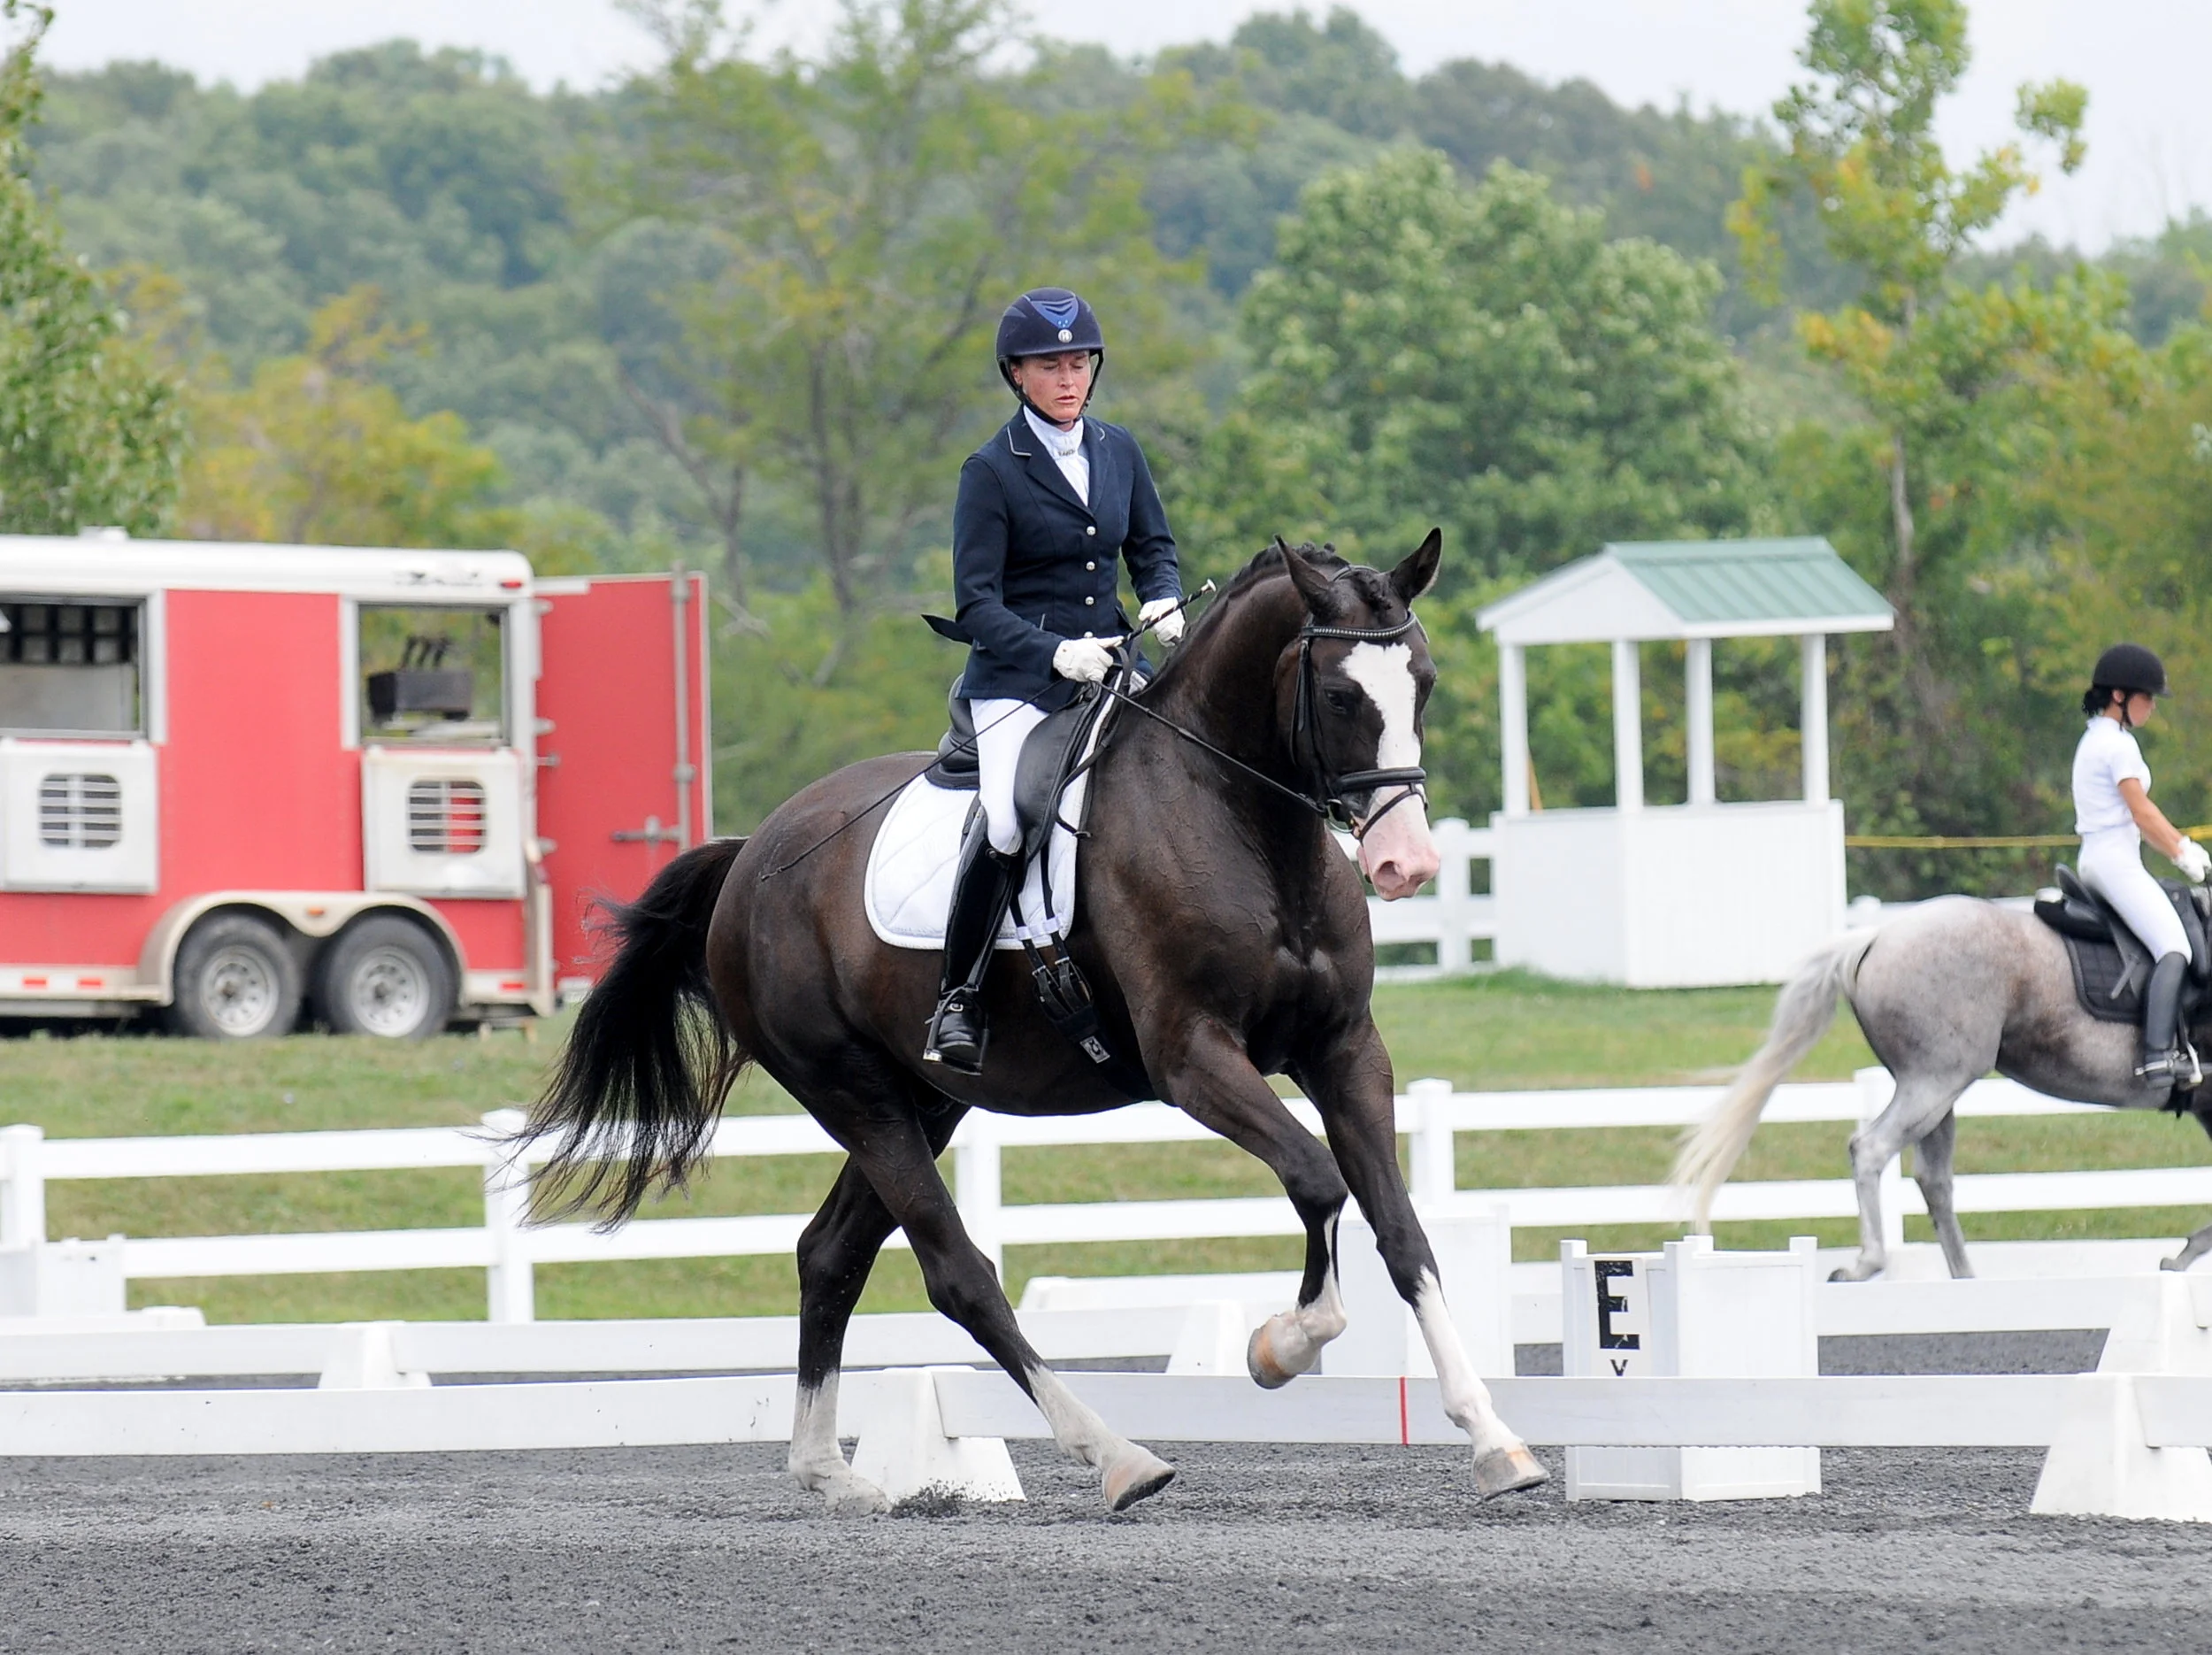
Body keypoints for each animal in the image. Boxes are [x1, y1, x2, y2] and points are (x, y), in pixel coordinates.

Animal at [517, 534, 1549, 1513]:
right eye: (1338, 693)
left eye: (1423, 681)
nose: (1408, 864)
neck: (1247, 826)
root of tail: (750, 855)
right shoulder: (1193, 1059)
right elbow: (1316, 1178)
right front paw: (1280, 1347)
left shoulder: (1346, 1052)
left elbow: (1402, 1231)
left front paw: (1496, 1442)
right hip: (851, 1090)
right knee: (957, 1273)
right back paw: (1119, 1457)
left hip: (923, 1098)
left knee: (830, 1255)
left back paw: (828, 1473)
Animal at [1674, 895, 2212, 1282]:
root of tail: (1877, 935)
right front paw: (2183, 1256)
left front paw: (2184, 1254)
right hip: (1936, 1081)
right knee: (1871, 1149)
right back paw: (1868, 1264)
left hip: (1936, 1091)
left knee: (1932, 1179)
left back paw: (1963, 1280)